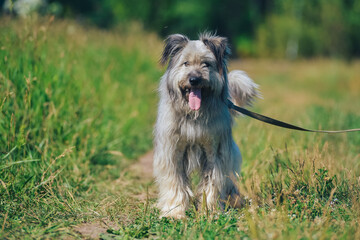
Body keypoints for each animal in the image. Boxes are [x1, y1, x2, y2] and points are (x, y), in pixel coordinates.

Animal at [153, 32, 260, 218]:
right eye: (186, 63)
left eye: (206, 64)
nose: (194, 79)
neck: (194, 115)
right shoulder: (173, 151)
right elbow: (175, 182)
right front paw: (175, 212)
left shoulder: (214, 151)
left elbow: (213, 182)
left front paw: (210, 211)